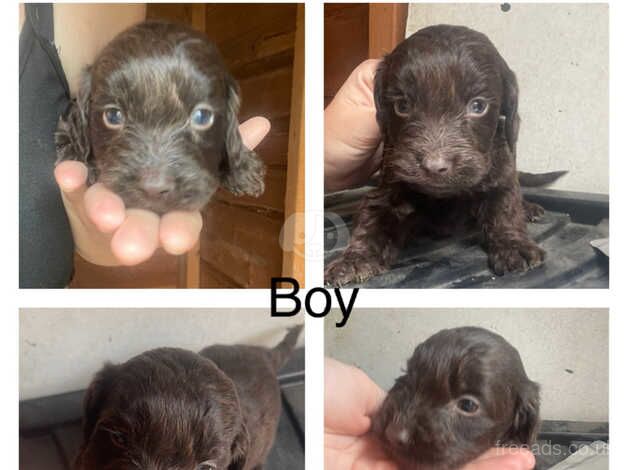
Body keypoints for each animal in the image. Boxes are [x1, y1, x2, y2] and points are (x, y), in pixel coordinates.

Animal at [324, 26, 556, 286]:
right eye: (402, 106)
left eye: (478, 106)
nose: (435, 166)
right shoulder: (387, 189)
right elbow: (371, 221)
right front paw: (354, 259)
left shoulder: (501, 172)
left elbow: (505, 207)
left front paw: (514, 245)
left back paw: (529, 208)